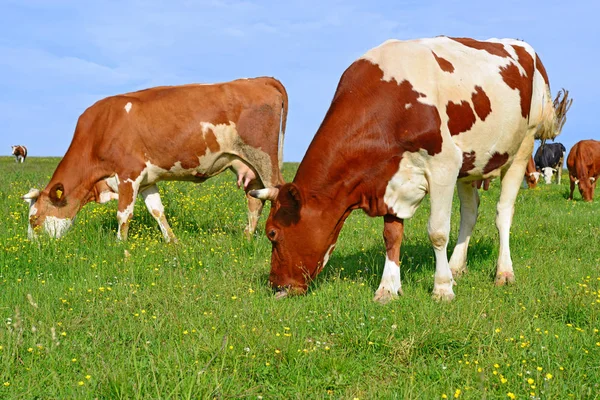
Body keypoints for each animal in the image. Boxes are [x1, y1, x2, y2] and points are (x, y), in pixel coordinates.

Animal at [21, 76, 288, 242]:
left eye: (34, 219)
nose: (32, 246)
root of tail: (261, 79)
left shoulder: (128, 174)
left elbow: (123, 214)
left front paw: (120, 246)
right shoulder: (147, 180)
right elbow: (157, 210)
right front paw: (173, 241)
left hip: (264, 157)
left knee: (277, 191)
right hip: (247, 164)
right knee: (254, 201)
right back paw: (247, 237)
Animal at [251, 36, 568, 304]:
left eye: (272, 233)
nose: (276, 285)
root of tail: (524, 46)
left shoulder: (443, 165)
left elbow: (437, 232)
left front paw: (442, 288)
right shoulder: (390, 177)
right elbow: (391, 235)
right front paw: (388, 288)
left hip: (522, 147)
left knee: (503, 213)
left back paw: (503, 272)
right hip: (471, 161)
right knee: (470, 211)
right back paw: (457, 265)